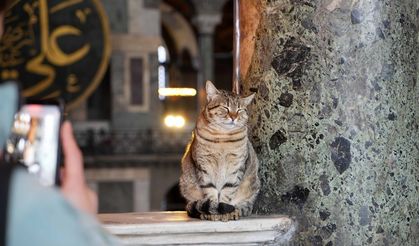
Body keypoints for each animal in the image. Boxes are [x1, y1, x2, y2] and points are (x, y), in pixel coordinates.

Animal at [180, 80, 260, 221]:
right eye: (225, 108)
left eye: (239, 109)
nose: (233, 117)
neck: (223, 137)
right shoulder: (204, 165)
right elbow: (210, 191)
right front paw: (213, 209)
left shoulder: (236, 166)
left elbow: (228, 191)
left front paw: (225, 210)